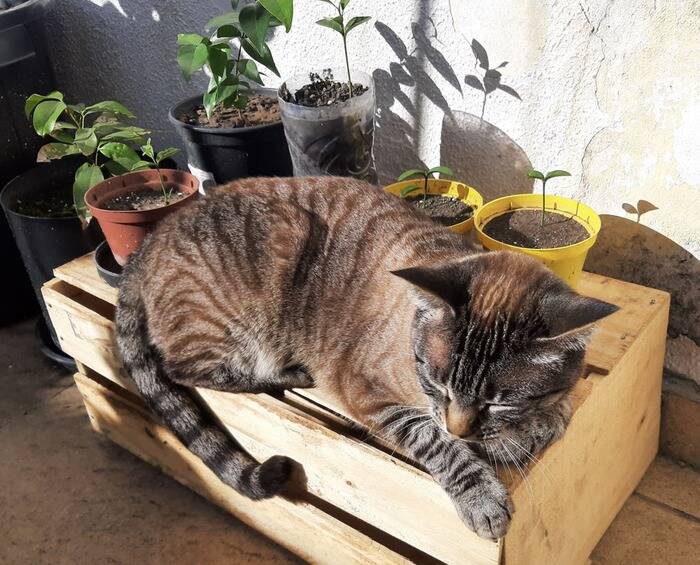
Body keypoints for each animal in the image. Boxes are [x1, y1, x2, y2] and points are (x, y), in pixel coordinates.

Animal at [115, 176, 616, 536]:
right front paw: (482, 493)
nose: (459, 427)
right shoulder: (370, 393)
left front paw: (532, 427)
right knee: (180, 367)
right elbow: (438, 443)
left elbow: (554, 416)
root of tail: (151, 238)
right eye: (437, 384)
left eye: (498, 402)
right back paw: (290, 372)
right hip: (276, 252)